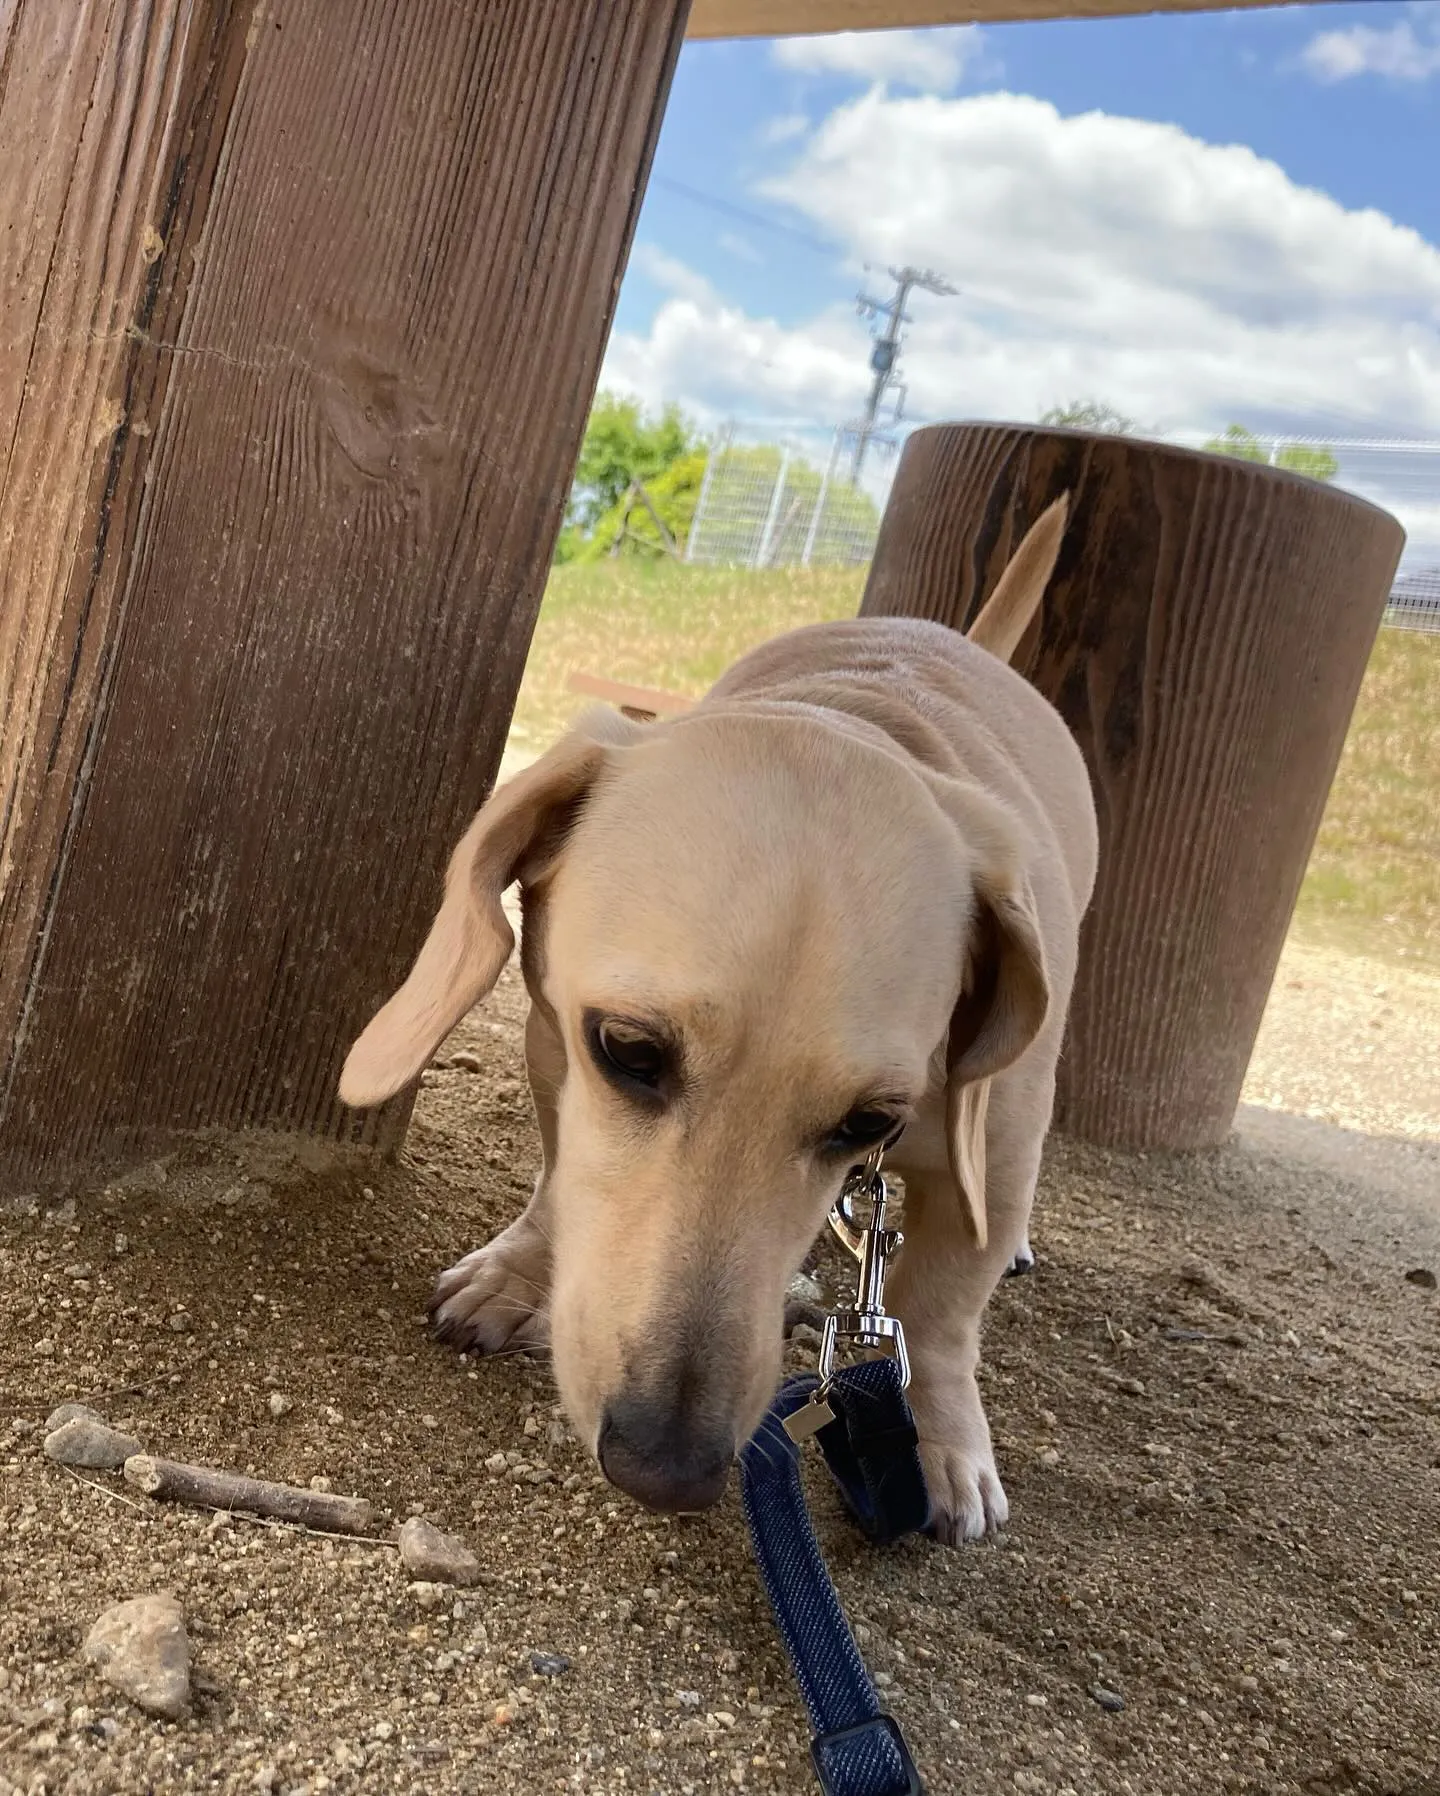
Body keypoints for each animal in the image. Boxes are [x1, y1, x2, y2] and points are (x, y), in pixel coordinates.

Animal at [342, 502, 1091, 1544]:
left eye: (869, 1121)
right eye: (628, 1050)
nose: (667, 1467)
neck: (858, 719)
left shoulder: (999, 1144)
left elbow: (940, 1308)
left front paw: (944, 1439)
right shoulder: (557, 1046)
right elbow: (561, 1178)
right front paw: (520, 1275)